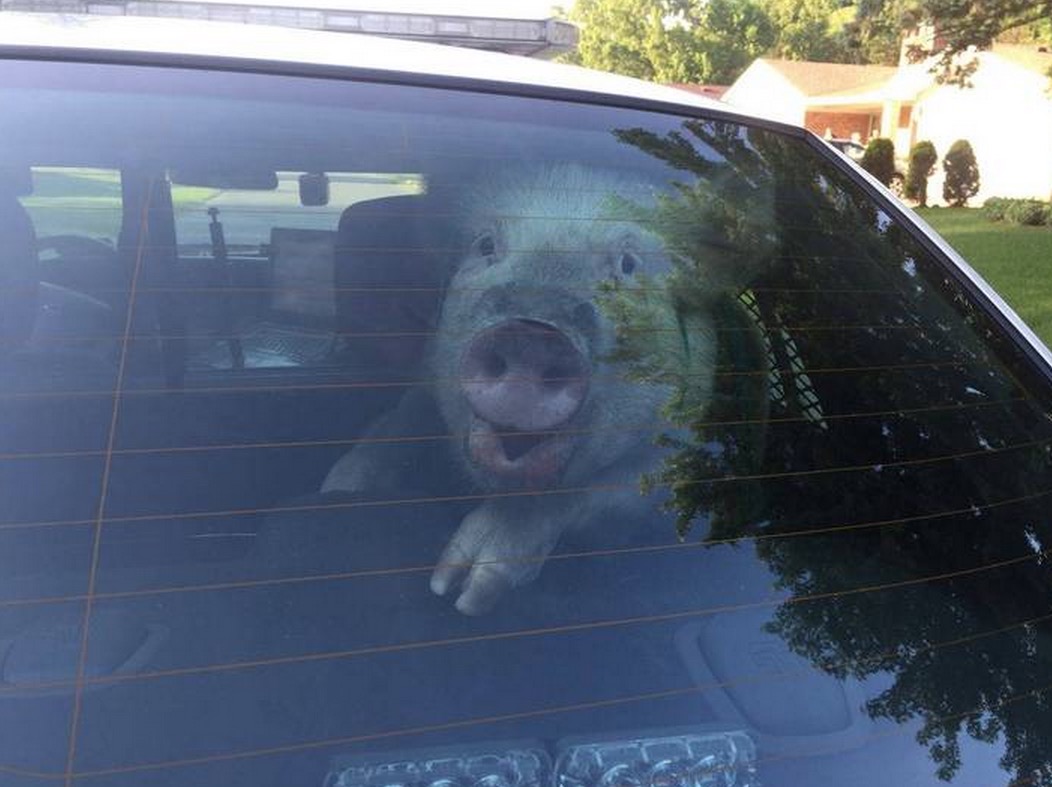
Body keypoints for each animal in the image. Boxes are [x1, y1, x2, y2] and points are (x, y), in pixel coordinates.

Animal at [323, 164, 718, 615]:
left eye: (628, 263)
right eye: (485, 245)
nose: (532, 334)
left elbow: (592, 491)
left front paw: (463, 593)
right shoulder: (426, 383)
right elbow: (395, 426)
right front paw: (339, 489)